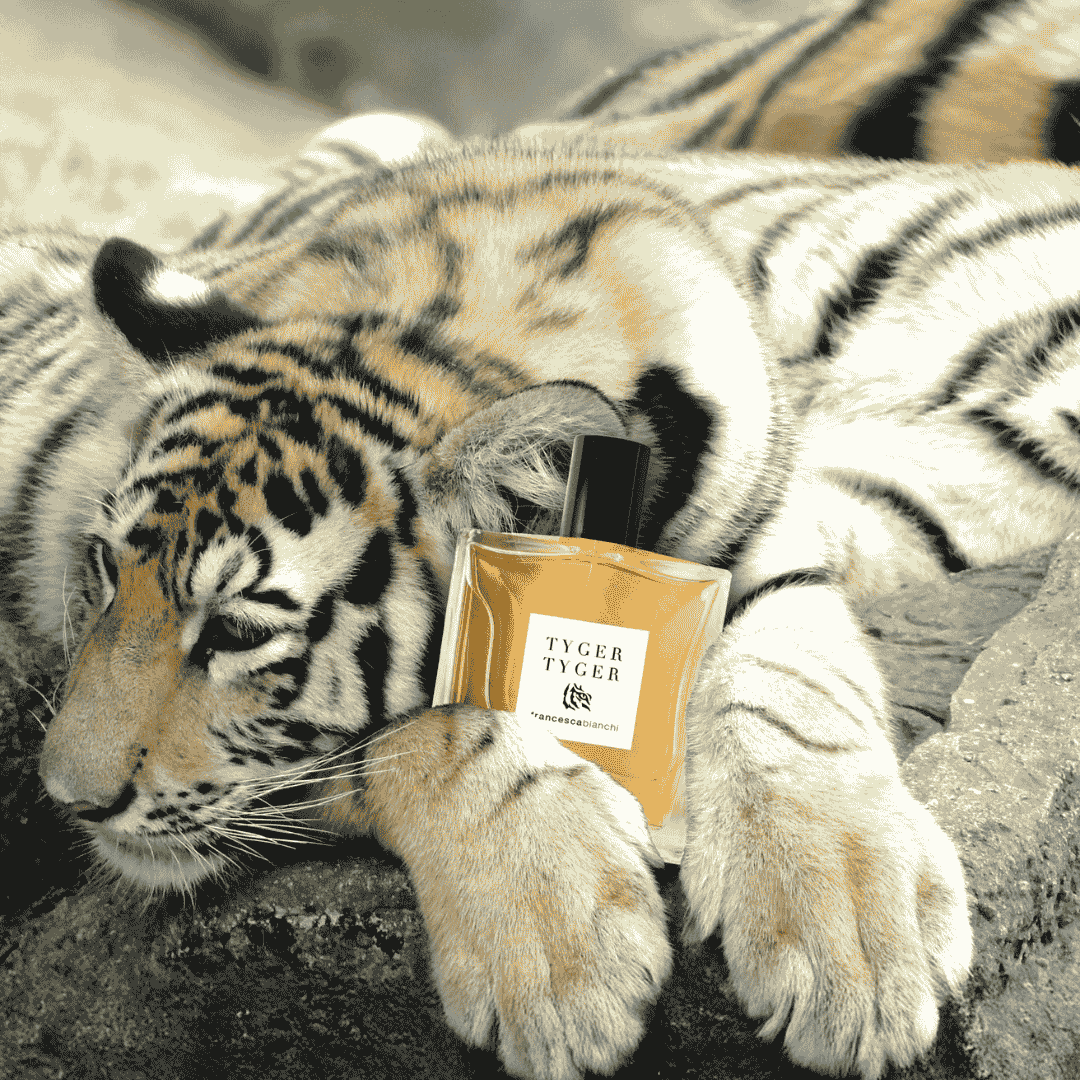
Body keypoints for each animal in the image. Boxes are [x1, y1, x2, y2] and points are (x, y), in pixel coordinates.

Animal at [6, 19, 1080, 1080]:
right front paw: (564, 965)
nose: (67, 800)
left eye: (233, 633)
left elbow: (791, 686)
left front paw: (851, 935)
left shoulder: (761, 546)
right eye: (102, 570)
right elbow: (429, 724)